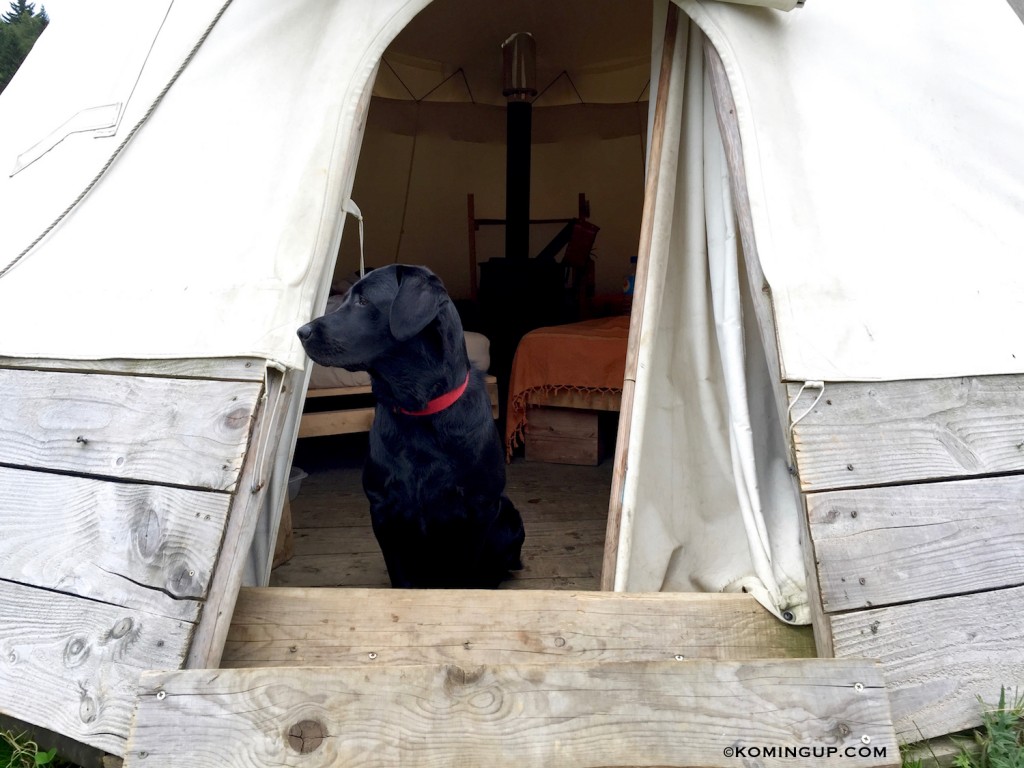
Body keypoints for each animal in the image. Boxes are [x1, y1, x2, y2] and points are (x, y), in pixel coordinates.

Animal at [294, 264, 520, 589]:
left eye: (363, 301)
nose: (301, 332)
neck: (419, 409)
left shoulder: (480, 508)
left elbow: (467, 575)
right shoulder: (384, 510)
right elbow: (400, 576)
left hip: (509, 515)